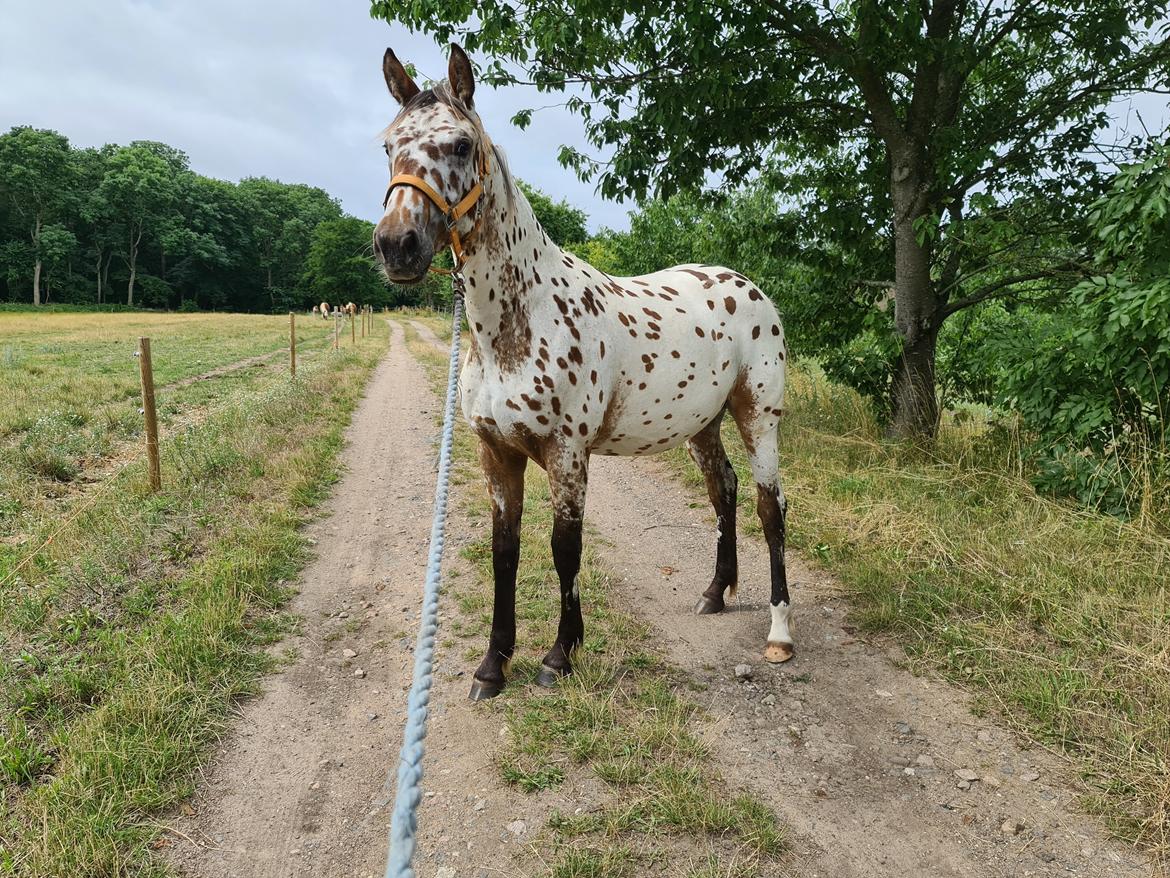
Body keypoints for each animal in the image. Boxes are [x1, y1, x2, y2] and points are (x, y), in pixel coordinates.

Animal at [374, 44, 795, 707]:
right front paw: (493, 666)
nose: (398, 246)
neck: (520, 323)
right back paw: (714, 592)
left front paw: (559, 655)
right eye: (389, 146)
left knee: (768, 507)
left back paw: (780, 633)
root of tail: (747, 287)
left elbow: (564, 551)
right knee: (723, 490)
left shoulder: (567, 454)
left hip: (758, 418)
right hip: (702, 425)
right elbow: (505, 553)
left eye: (462, 145)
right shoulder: (496, 453)